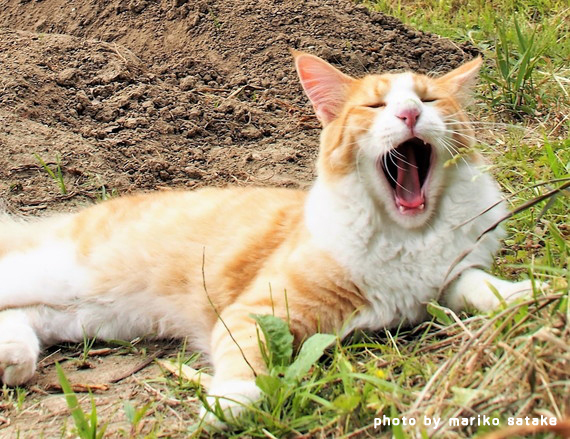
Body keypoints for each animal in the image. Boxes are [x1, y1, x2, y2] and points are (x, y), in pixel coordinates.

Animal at [0, 50, 536, 426]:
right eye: (377, 105)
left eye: (427, 100)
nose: (408, 115)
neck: (407, 237)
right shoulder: (257, 311)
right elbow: (249, 364)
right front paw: (230, 402)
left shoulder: (448, 279)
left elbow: (478, 285)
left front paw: (526, 293)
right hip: (57, 276)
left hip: (91, 315)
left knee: (25, 318)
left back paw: (14, 359)